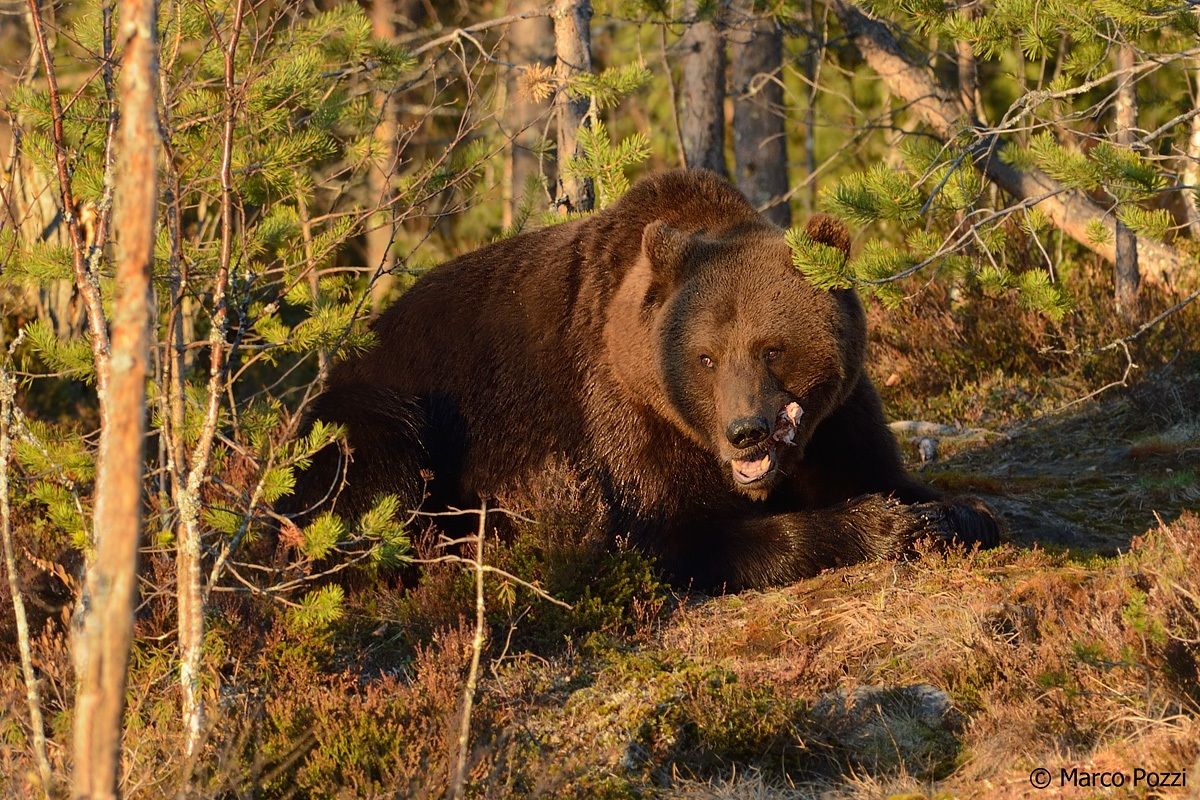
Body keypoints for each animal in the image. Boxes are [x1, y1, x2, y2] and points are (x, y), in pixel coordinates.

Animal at [285, 169, 999, 591]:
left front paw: (954, 511)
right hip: (379, 409)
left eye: (771, 348)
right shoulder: (624, 422)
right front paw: (877, 527)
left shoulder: (839, 416)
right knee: (376, 476)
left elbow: (884, 469)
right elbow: (681, 534)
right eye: (705, 358)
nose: (745, 433)